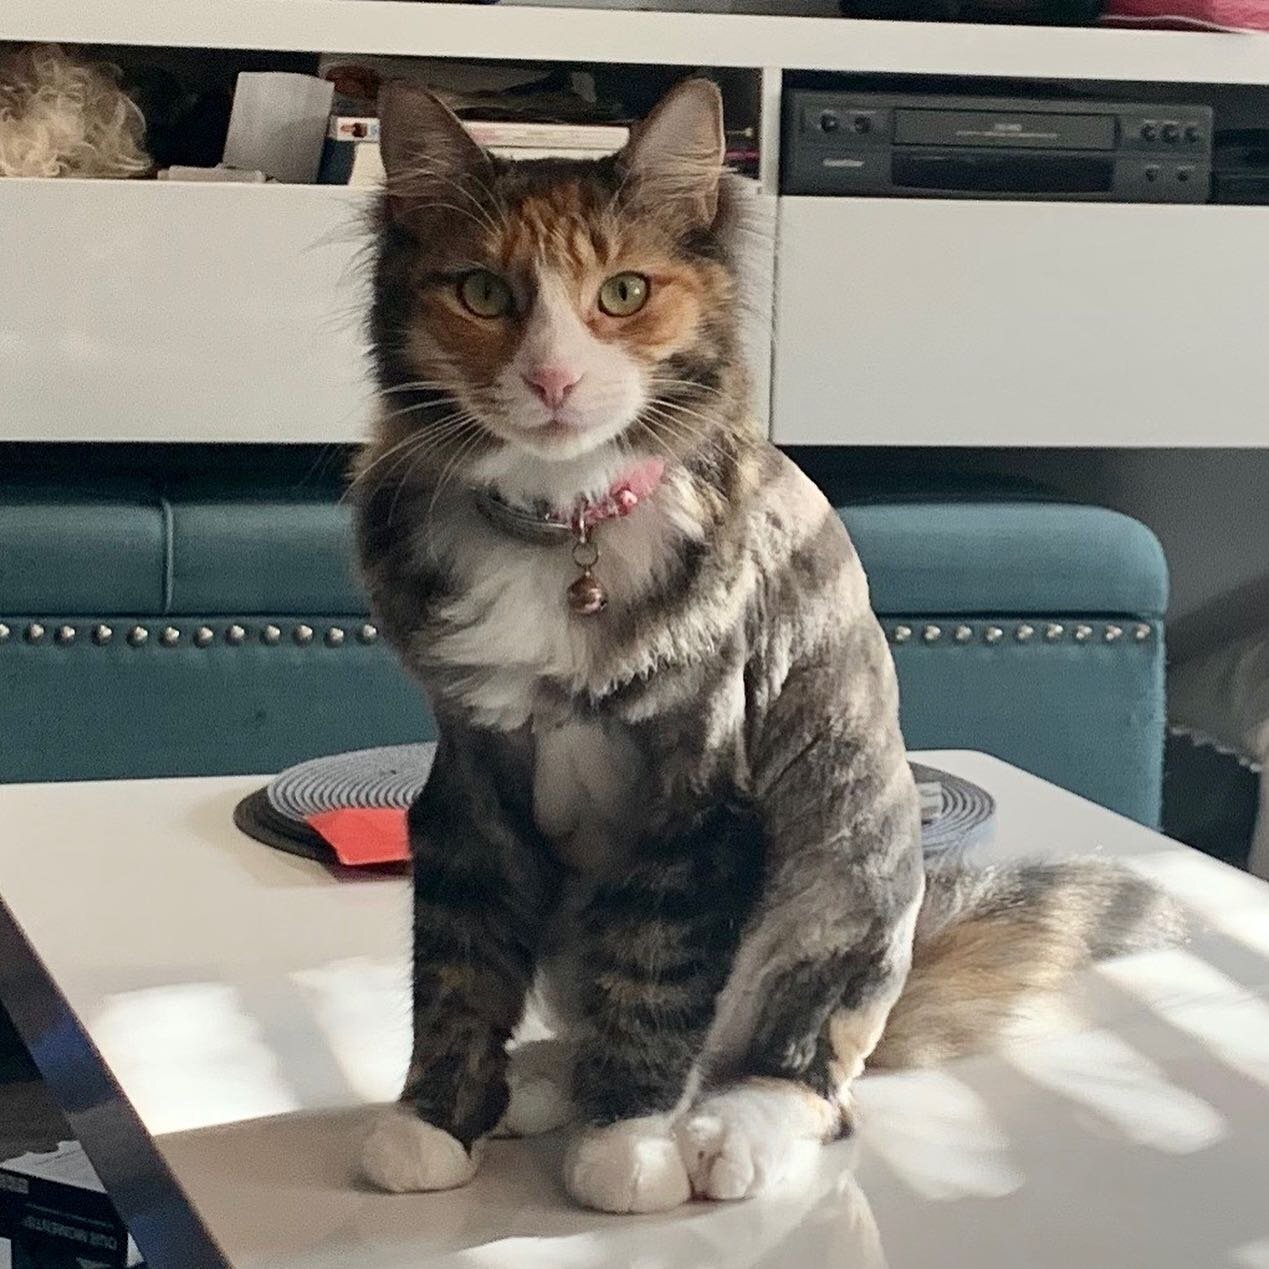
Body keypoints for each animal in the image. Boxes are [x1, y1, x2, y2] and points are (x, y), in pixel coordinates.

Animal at [355, 76, 1177, 1208]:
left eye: (622, 293)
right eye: (482, 293)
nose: (555, 381)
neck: (567, 526)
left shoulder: (703, 792)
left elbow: (655, 981)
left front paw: (625, 1147)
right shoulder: (470, 782)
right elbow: (458, 969)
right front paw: (433, 1122)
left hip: (836, 882)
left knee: (799, 1076)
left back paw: (719, 1131)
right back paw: (546, 1085)